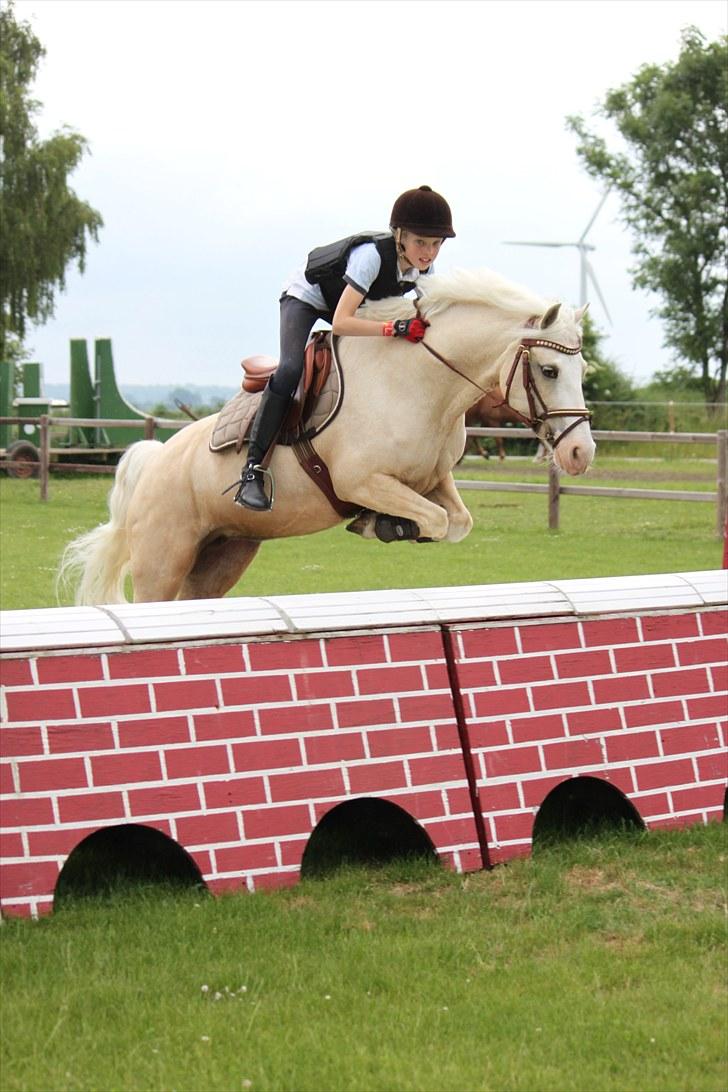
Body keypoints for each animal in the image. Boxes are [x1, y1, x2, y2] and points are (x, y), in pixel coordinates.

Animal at [59, 266, 593, 607]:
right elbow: (436, 520)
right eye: (548, 370)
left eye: (582, 369)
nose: (580, 453)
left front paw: (387, 524)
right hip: (162, 558)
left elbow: (454, 521)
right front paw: (384, 525)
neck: (421, 383)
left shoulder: (432, 480)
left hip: (223, 554)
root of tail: (154, 461)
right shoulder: (361, 481)